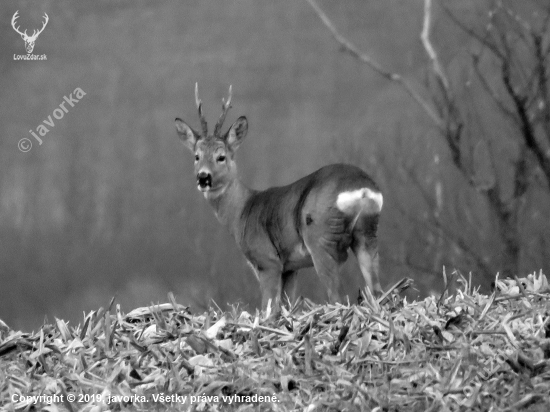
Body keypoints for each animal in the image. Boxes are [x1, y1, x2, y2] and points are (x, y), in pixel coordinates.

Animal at [177, 84, 384, 316]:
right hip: (367, 234)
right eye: (196, 156)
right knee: (377, 291)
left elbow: (269, 310)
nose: (203, 177)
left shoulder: (267, 261)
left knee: (338, 297)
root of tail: (362, 189)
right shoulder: (290, 268)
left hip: (321, 240)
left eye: (221, 157)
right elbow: (285, 306)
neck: (242, 212)